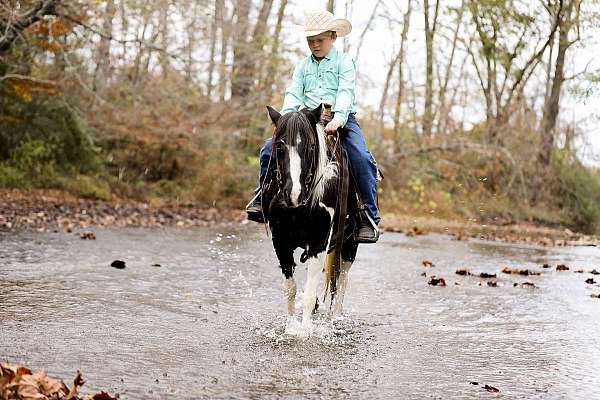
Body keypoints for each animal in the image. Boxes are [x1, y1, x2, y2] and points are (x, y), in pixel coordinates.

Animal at [258, 104, 360, 330]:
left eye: (312, 147)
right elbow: (291, 289)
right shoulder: (280, 241)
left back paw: (336, 318)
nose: (293, 194)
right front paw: (290, 328)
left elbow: (310, 293)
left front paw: (305, 332)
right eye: (279, 147)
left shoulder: (318, 243)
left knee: (342, 281)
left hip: (350, 244)